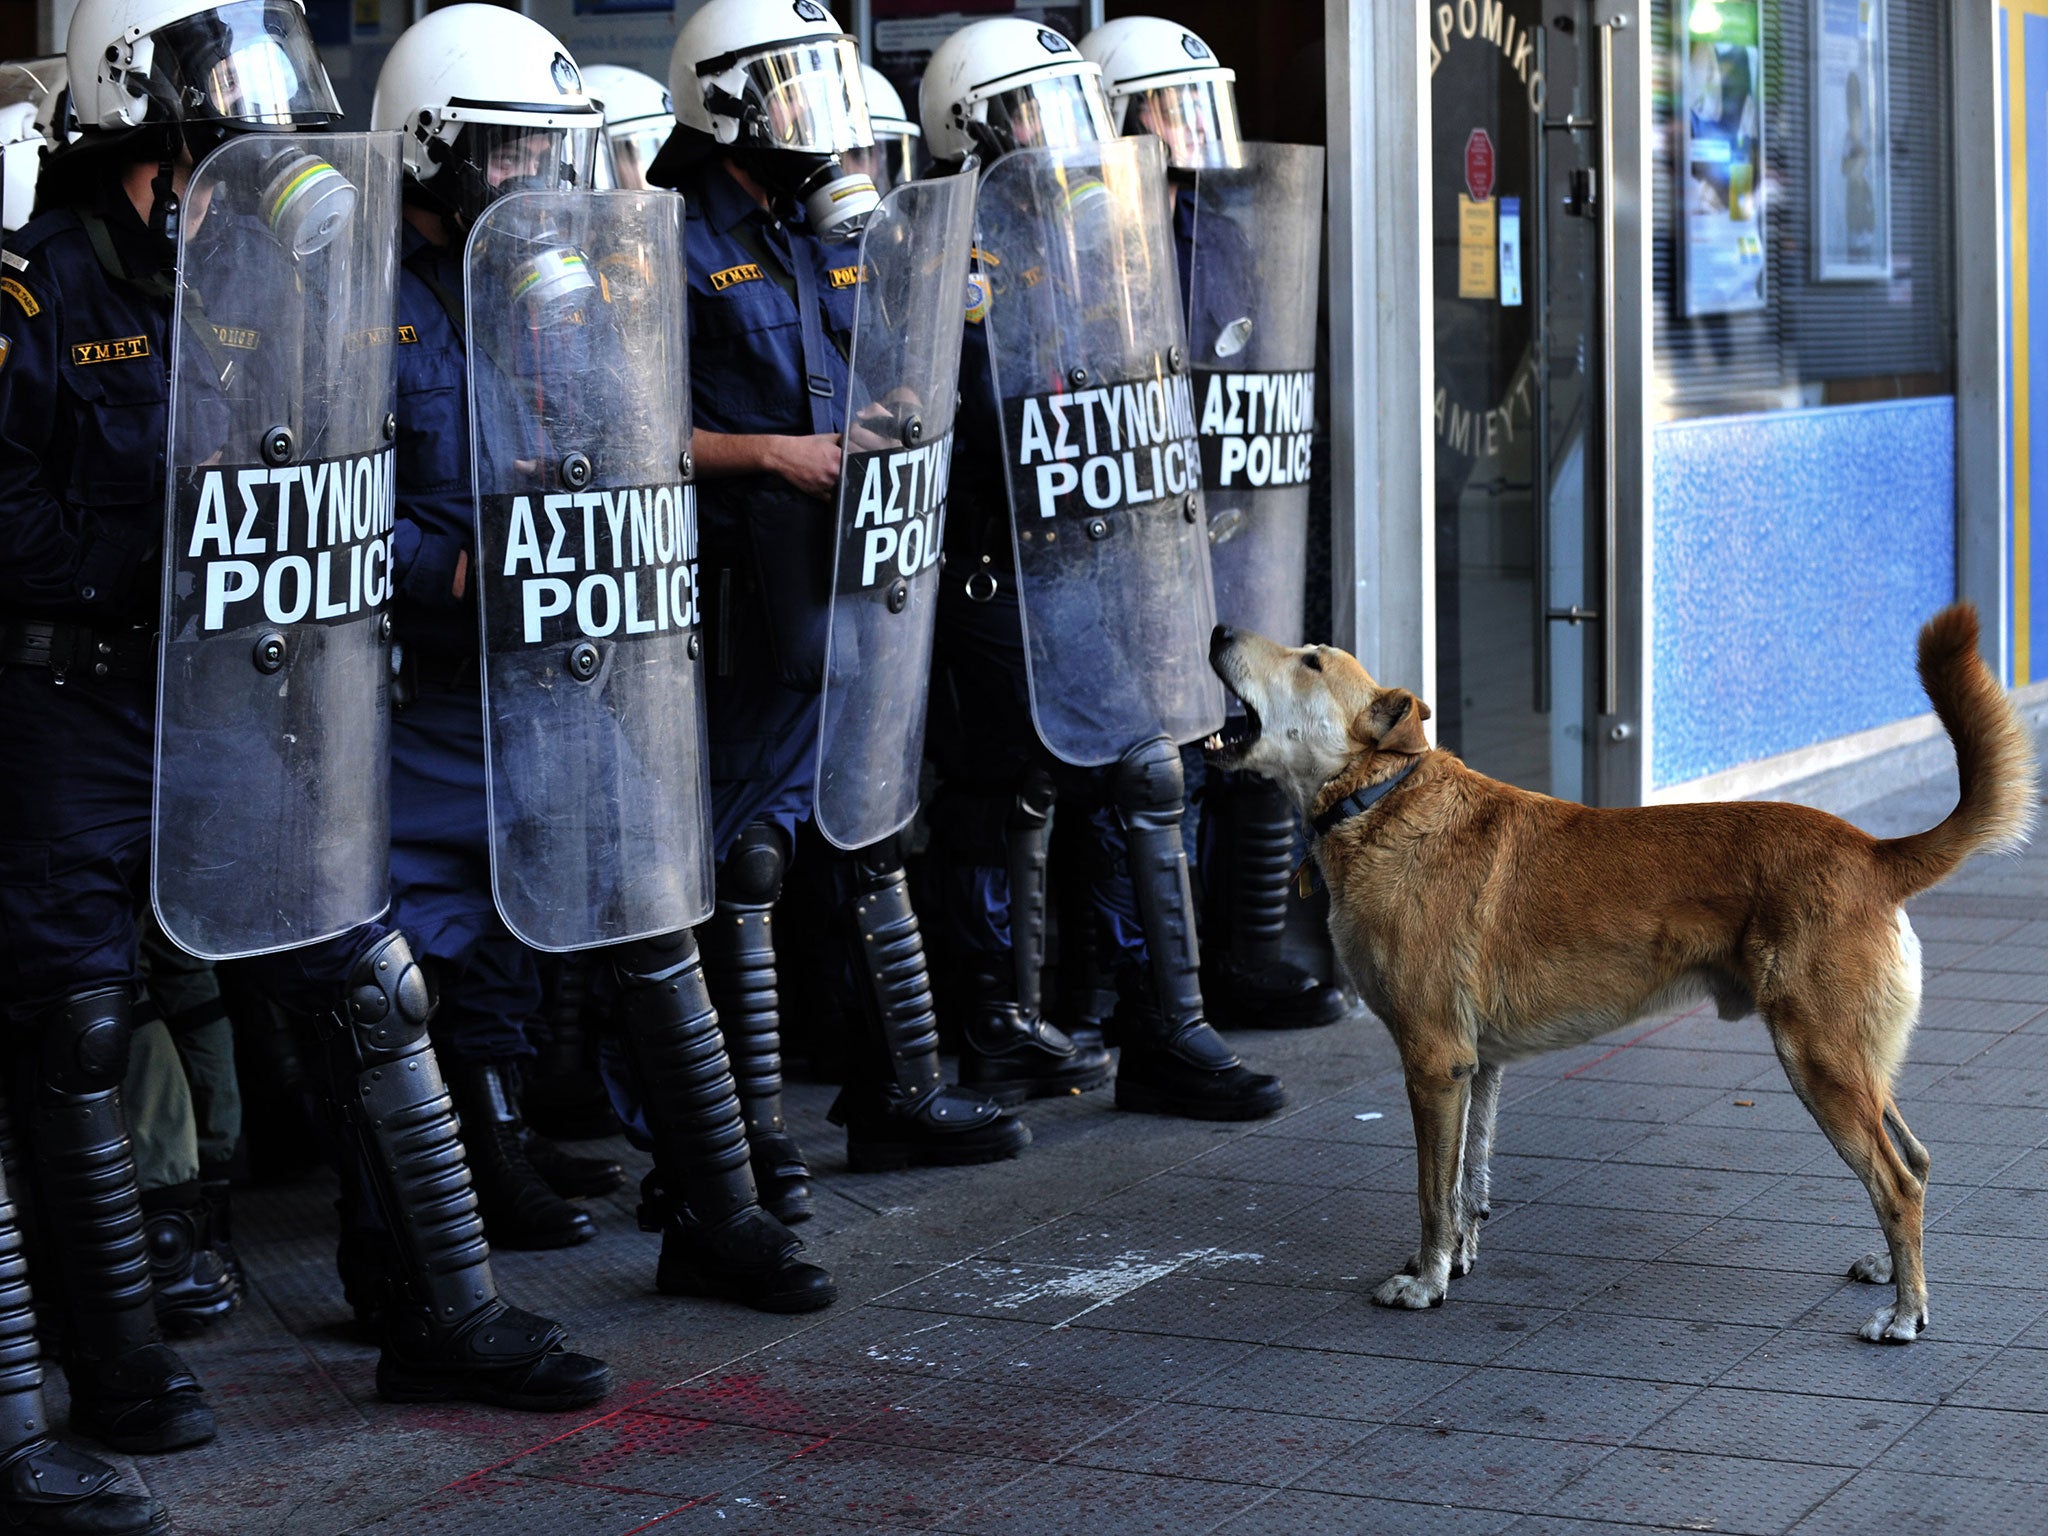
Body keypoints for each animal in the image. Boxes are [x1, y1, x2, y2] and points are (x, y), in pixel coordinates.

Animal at [1204, 606, 2039, 1343]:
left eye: (1311, 661)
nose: (1216, 629)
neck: (1378, 797)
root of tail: (1872, 851)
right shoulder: (1478, 1066)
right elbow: (1470, 1179)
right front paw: (1459, 1261)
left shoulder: (1434, 1060)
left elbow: (1432, 1192)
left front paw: (1427, 1280)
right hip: (1856, 1058)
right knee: (1915, 1159)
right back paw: (1892, 1274)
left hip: (1819, 1058)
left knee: (1896, 1181)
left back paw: (1906, 1315)